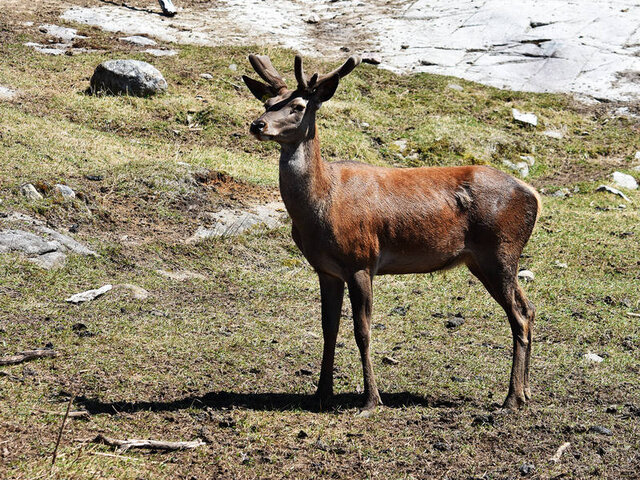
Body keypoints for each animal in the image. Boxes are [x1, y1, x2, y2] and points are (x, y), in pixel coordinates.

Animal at [242, 54, 541, 411]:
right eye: (267, 103)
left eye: (298, 106)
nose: (257, 124)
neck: (322, 203)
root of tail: (533, 194)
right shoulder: (325, 269)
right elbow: (329, 328)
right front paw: (321, 393)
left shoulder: (361, 259)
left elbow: (362, 331)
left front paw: (371, 400)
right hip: (486, 260)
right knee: (528, 309)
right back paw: (525, 393)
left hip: (500, 250)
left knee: (519, 316)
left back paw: (511, 398)